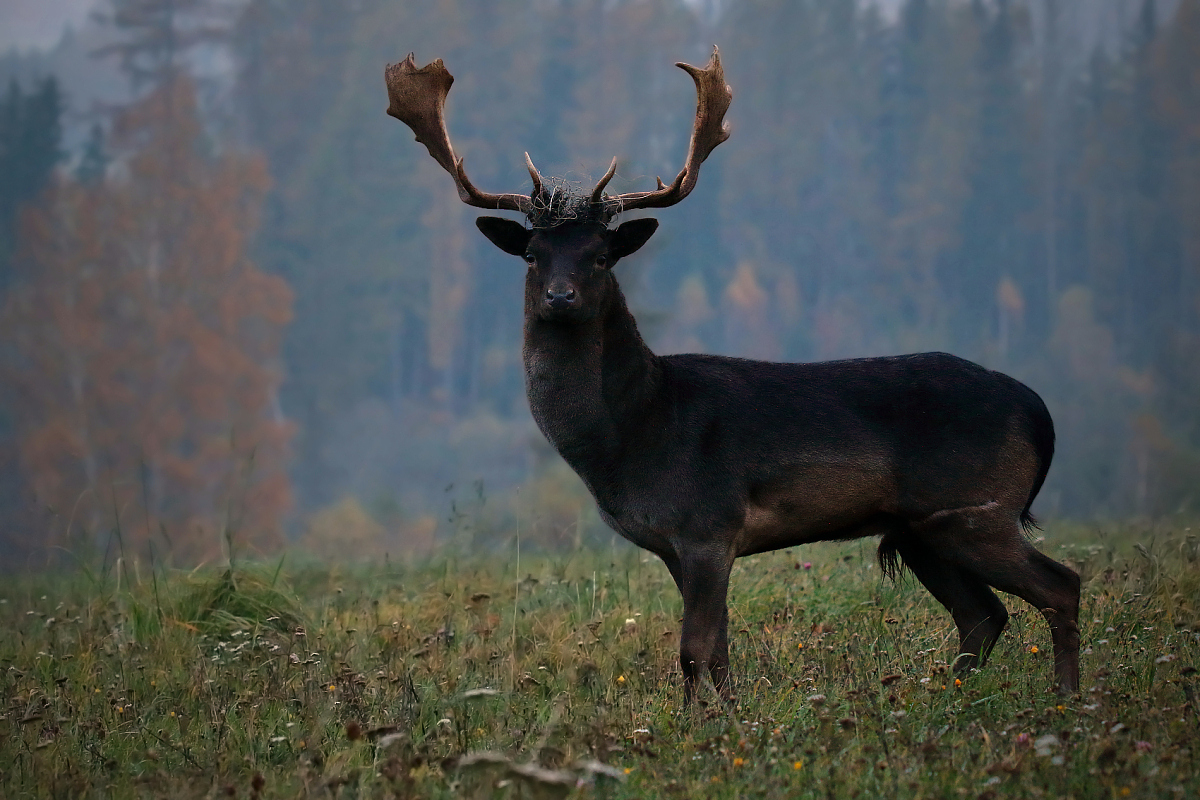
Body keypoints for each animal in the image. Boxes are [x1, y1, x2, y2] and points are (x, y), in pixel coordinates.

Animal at [384, 50, 1080, 700]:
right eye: (532, 255)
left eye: (602, 256)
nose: (561, 296)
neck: (634, 436)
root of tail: (1039, 411)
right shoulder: (678, 545)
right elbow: (713, 653)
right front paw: (719, 722)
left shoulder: (709, 524)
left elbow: (695, 651)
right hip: (921, 528)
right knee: (983, 615)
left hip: (980, 505)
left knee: (1060, 585)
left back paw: (1066, 700)